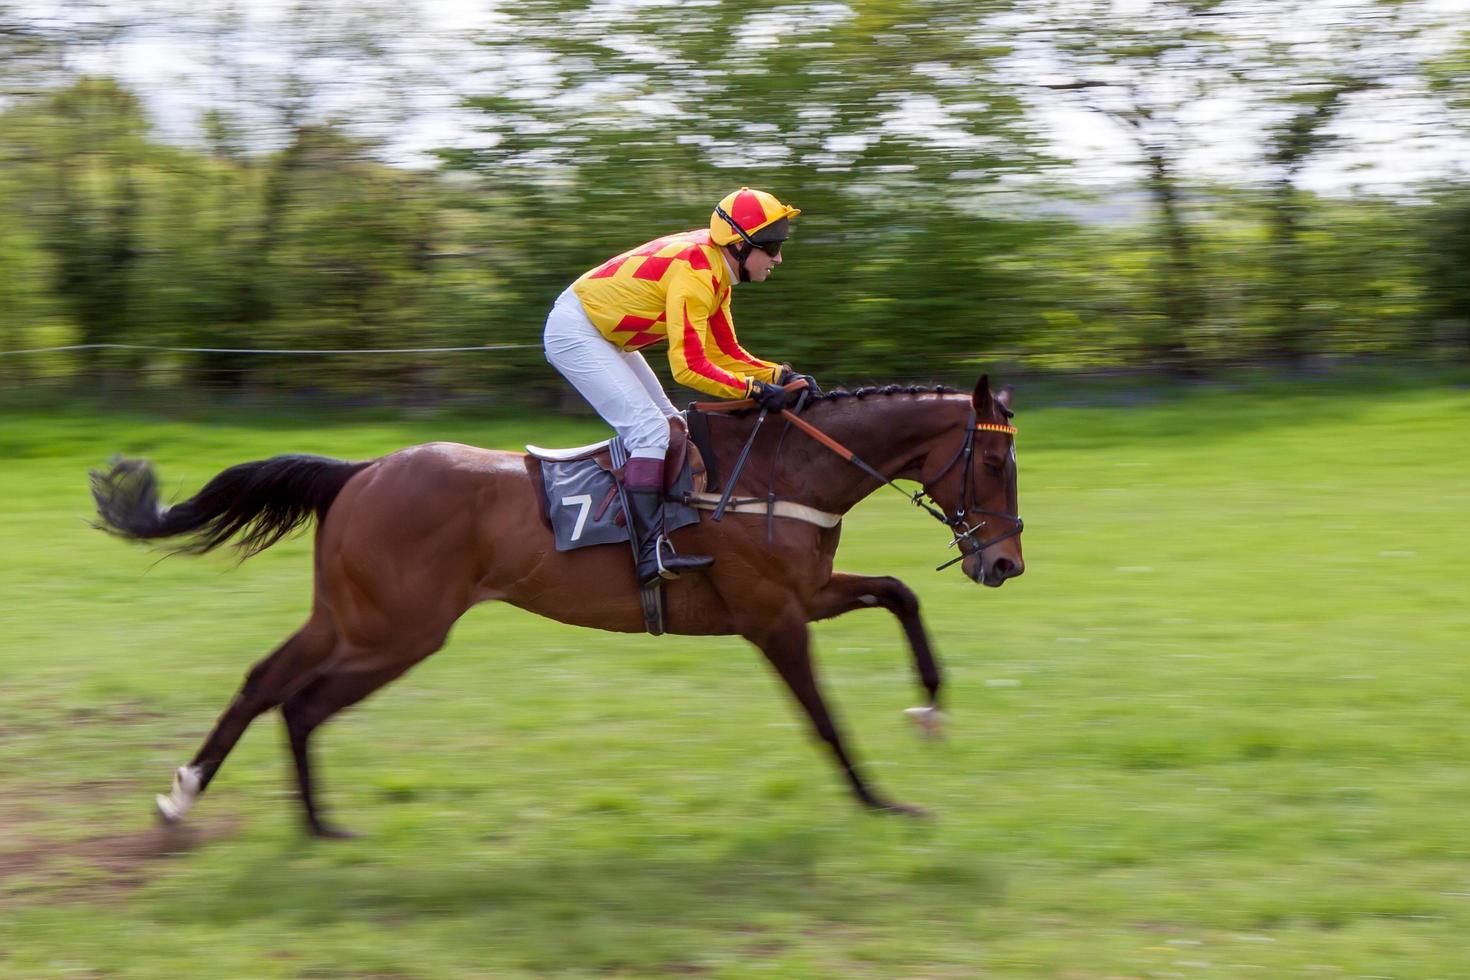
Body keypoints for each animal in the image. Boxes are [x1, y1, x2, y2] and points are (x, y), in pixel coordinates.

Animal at [91, 376, 1023, 834]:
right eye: (993, 464)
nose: (1007, 562)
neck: (780, 470)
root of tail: (358, 470)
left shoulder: (807, 594)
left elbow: (899, 594)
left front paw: (930, 710)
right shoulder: (773, 618)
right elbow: (825, 718)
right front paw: (881, 802)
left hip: (352, 618)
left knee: (266, 682)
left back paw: (193, 798)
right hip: (396, 631)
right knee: (302, 701)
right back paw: (313, 824)